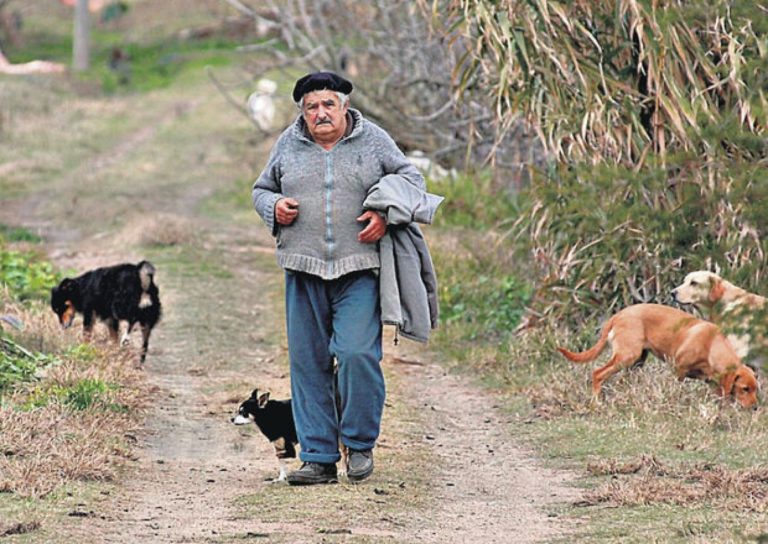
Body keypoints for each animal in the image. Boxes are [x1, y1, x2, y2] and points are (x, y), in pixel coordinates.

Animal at [556, 302, 760, 408]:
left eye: (755, 389)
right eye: (744, 389)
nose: (755, 407)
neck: (711, 345)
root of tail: (618, 315)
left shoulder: (713, 383)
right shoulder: (678, 370)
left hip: (636, 362)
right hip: (626, 356)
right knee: (598, 373)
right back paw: (597, 401)